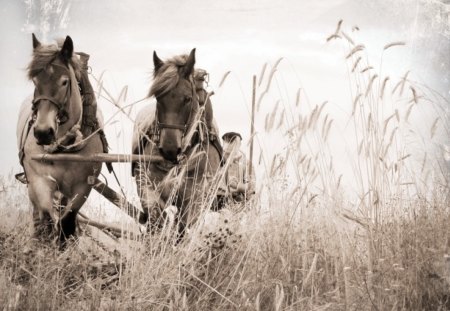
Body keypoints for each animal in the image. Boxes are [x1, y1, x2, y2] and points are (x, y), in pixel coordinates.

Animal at [16, 34, 103, 246]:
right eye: (35, 81)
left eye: (64, 82)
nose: (42, 132)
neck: (65, 147)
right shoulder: (39, 180)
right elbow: (47, 216)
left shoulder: (82, 187)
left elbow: (67, 222)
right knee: (38, 213)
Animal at [132, 49, 221, 241]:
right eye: (158, 97)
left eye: (187, 99)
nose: (170, 149)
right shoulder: (146, 185)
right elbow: (156, 217)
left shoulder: (196, 197)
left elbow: (183, 227)